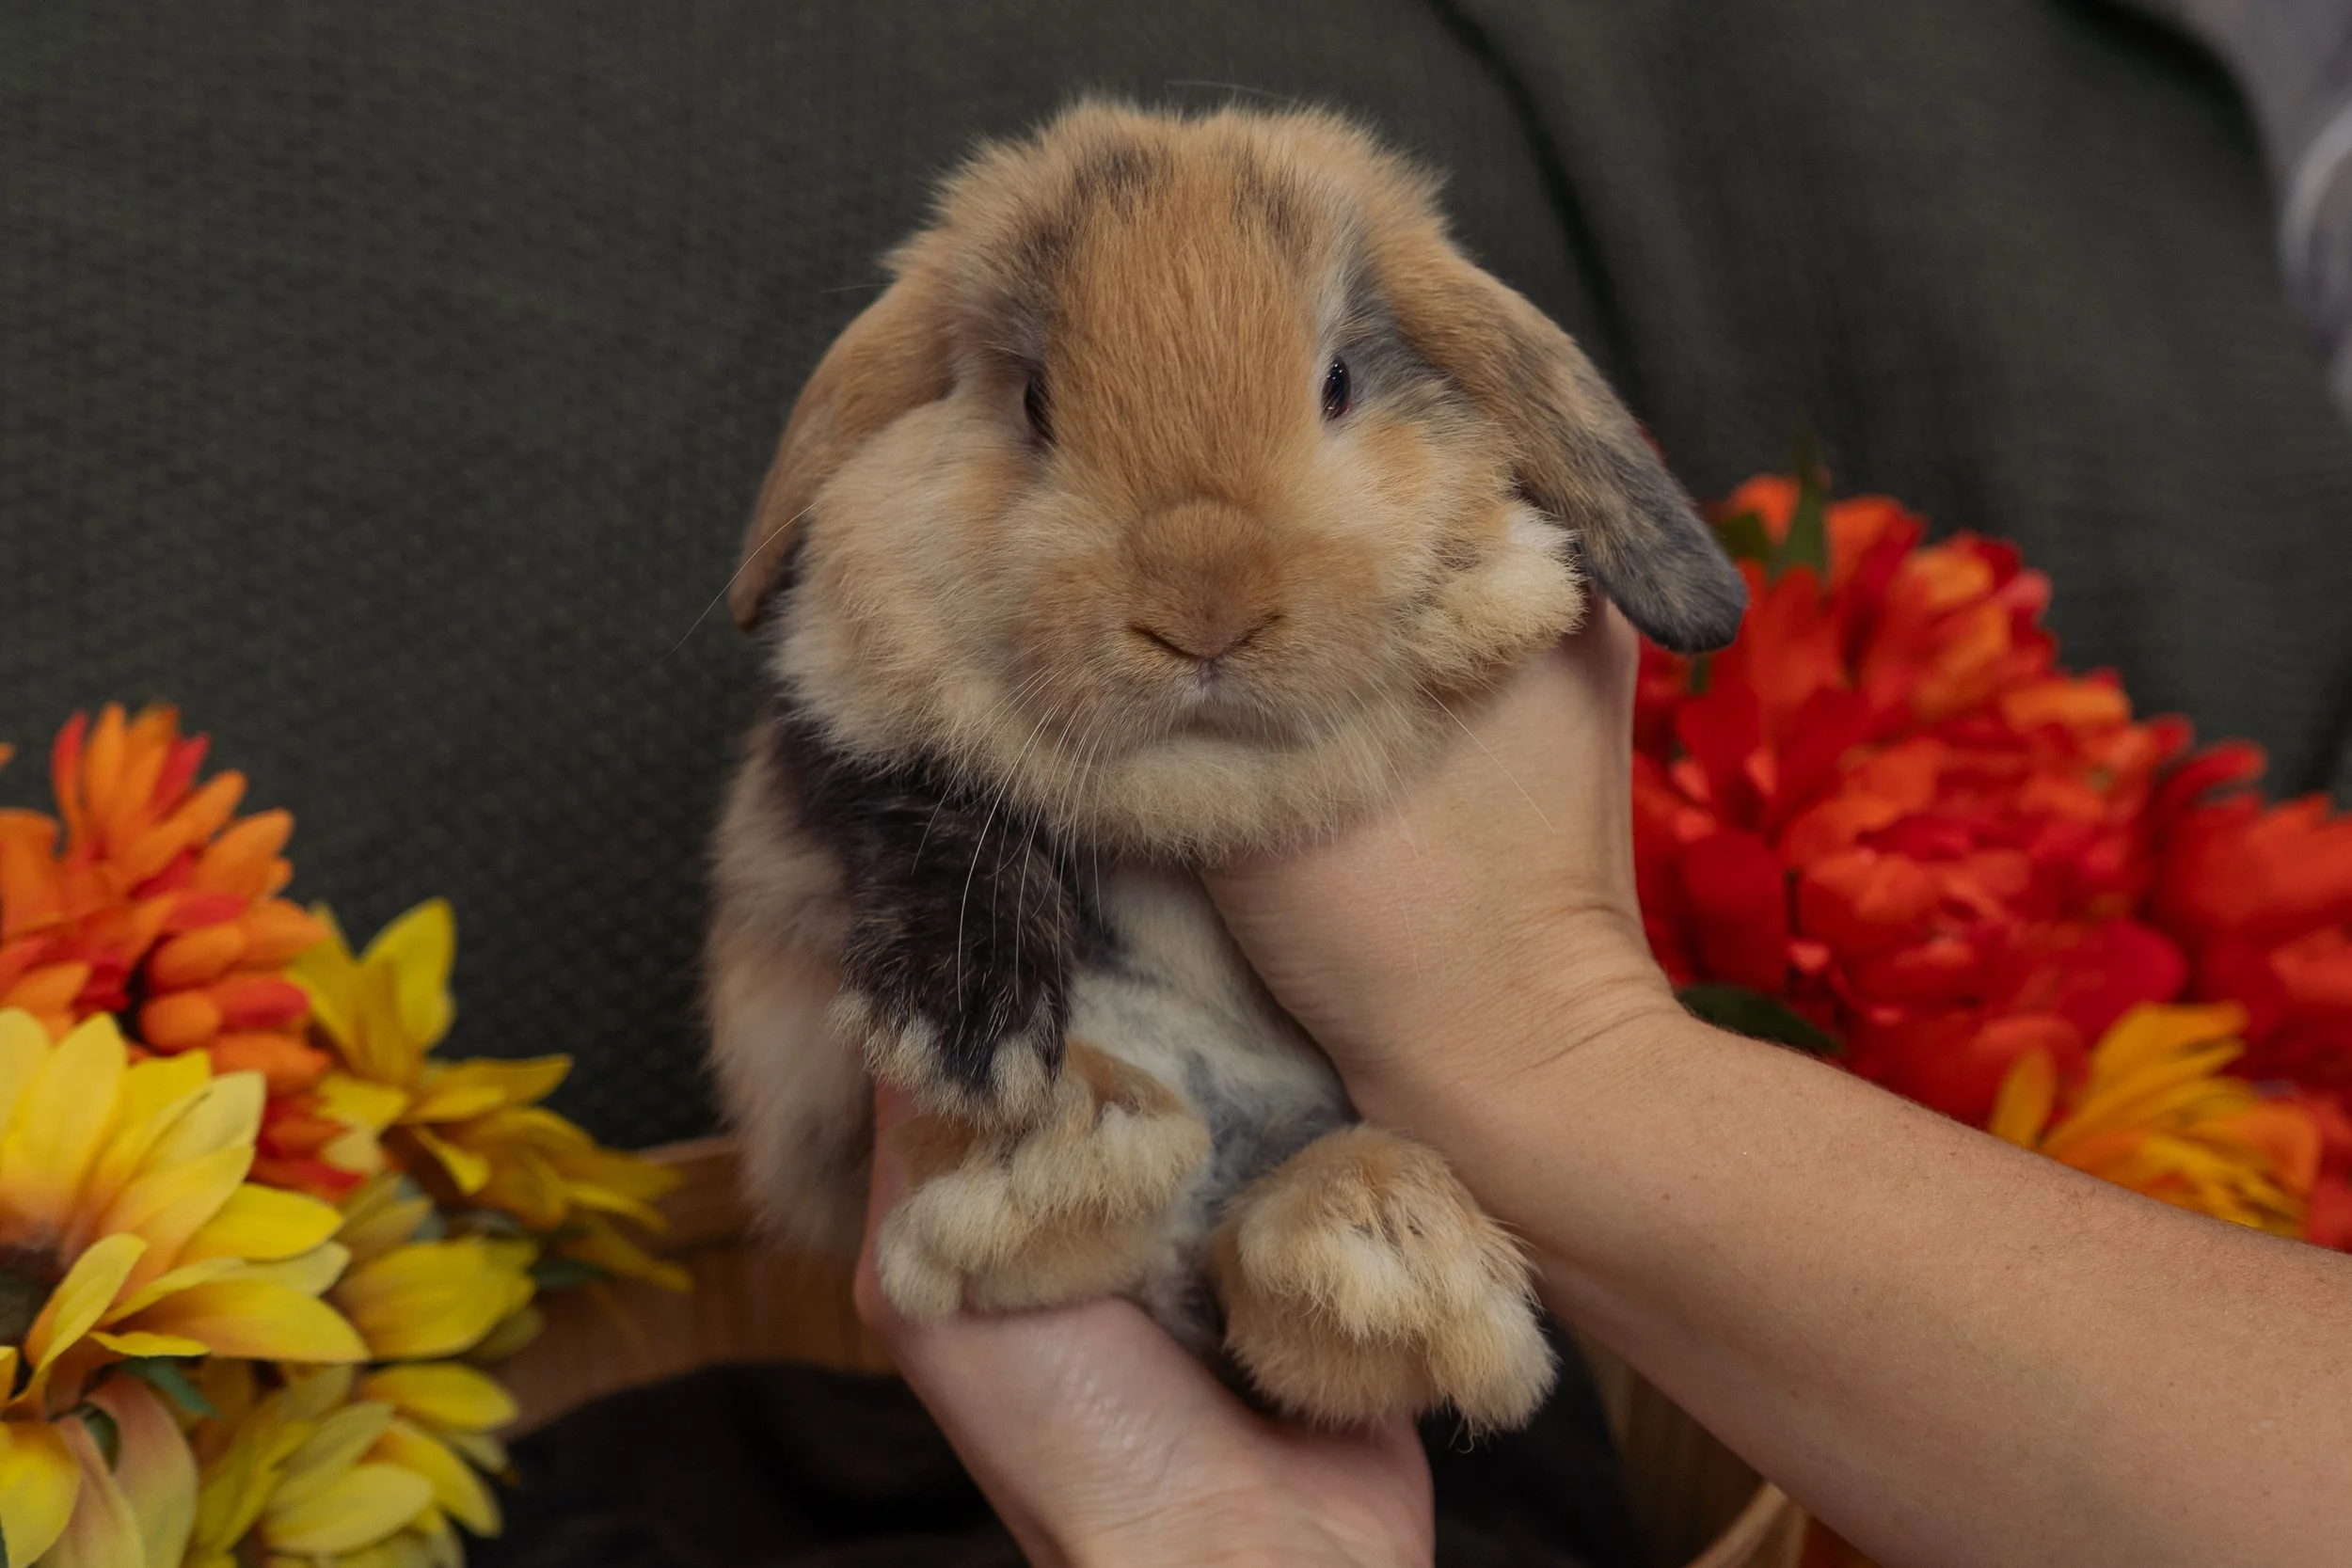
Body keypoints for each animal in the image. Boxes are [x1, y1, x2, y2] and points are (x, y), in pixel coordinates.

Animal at [706, 100, 1746, 1430]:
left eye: (1339, 382)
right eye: (1032, 402)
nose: (1203, 606)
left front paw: (1490, 589)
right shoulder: (837, 738)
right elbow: (925, 809)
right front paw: (966, 1027)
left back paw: (1371, 1255)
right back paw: (1062, 1153)